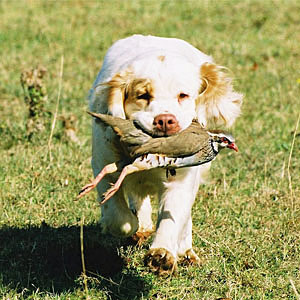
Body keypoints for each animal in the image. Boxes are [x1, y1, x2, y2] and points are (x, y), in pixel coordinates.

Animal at [88, 34, 243, 274]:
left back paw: (185, 250)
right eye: (143, 95)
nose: (165, 120)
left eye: (183, 95)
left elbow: (172, 217)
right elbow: (118, 218)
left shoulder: (181, 180)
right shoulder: (103, 162)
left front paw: (161, 254)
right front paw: (134, 226)